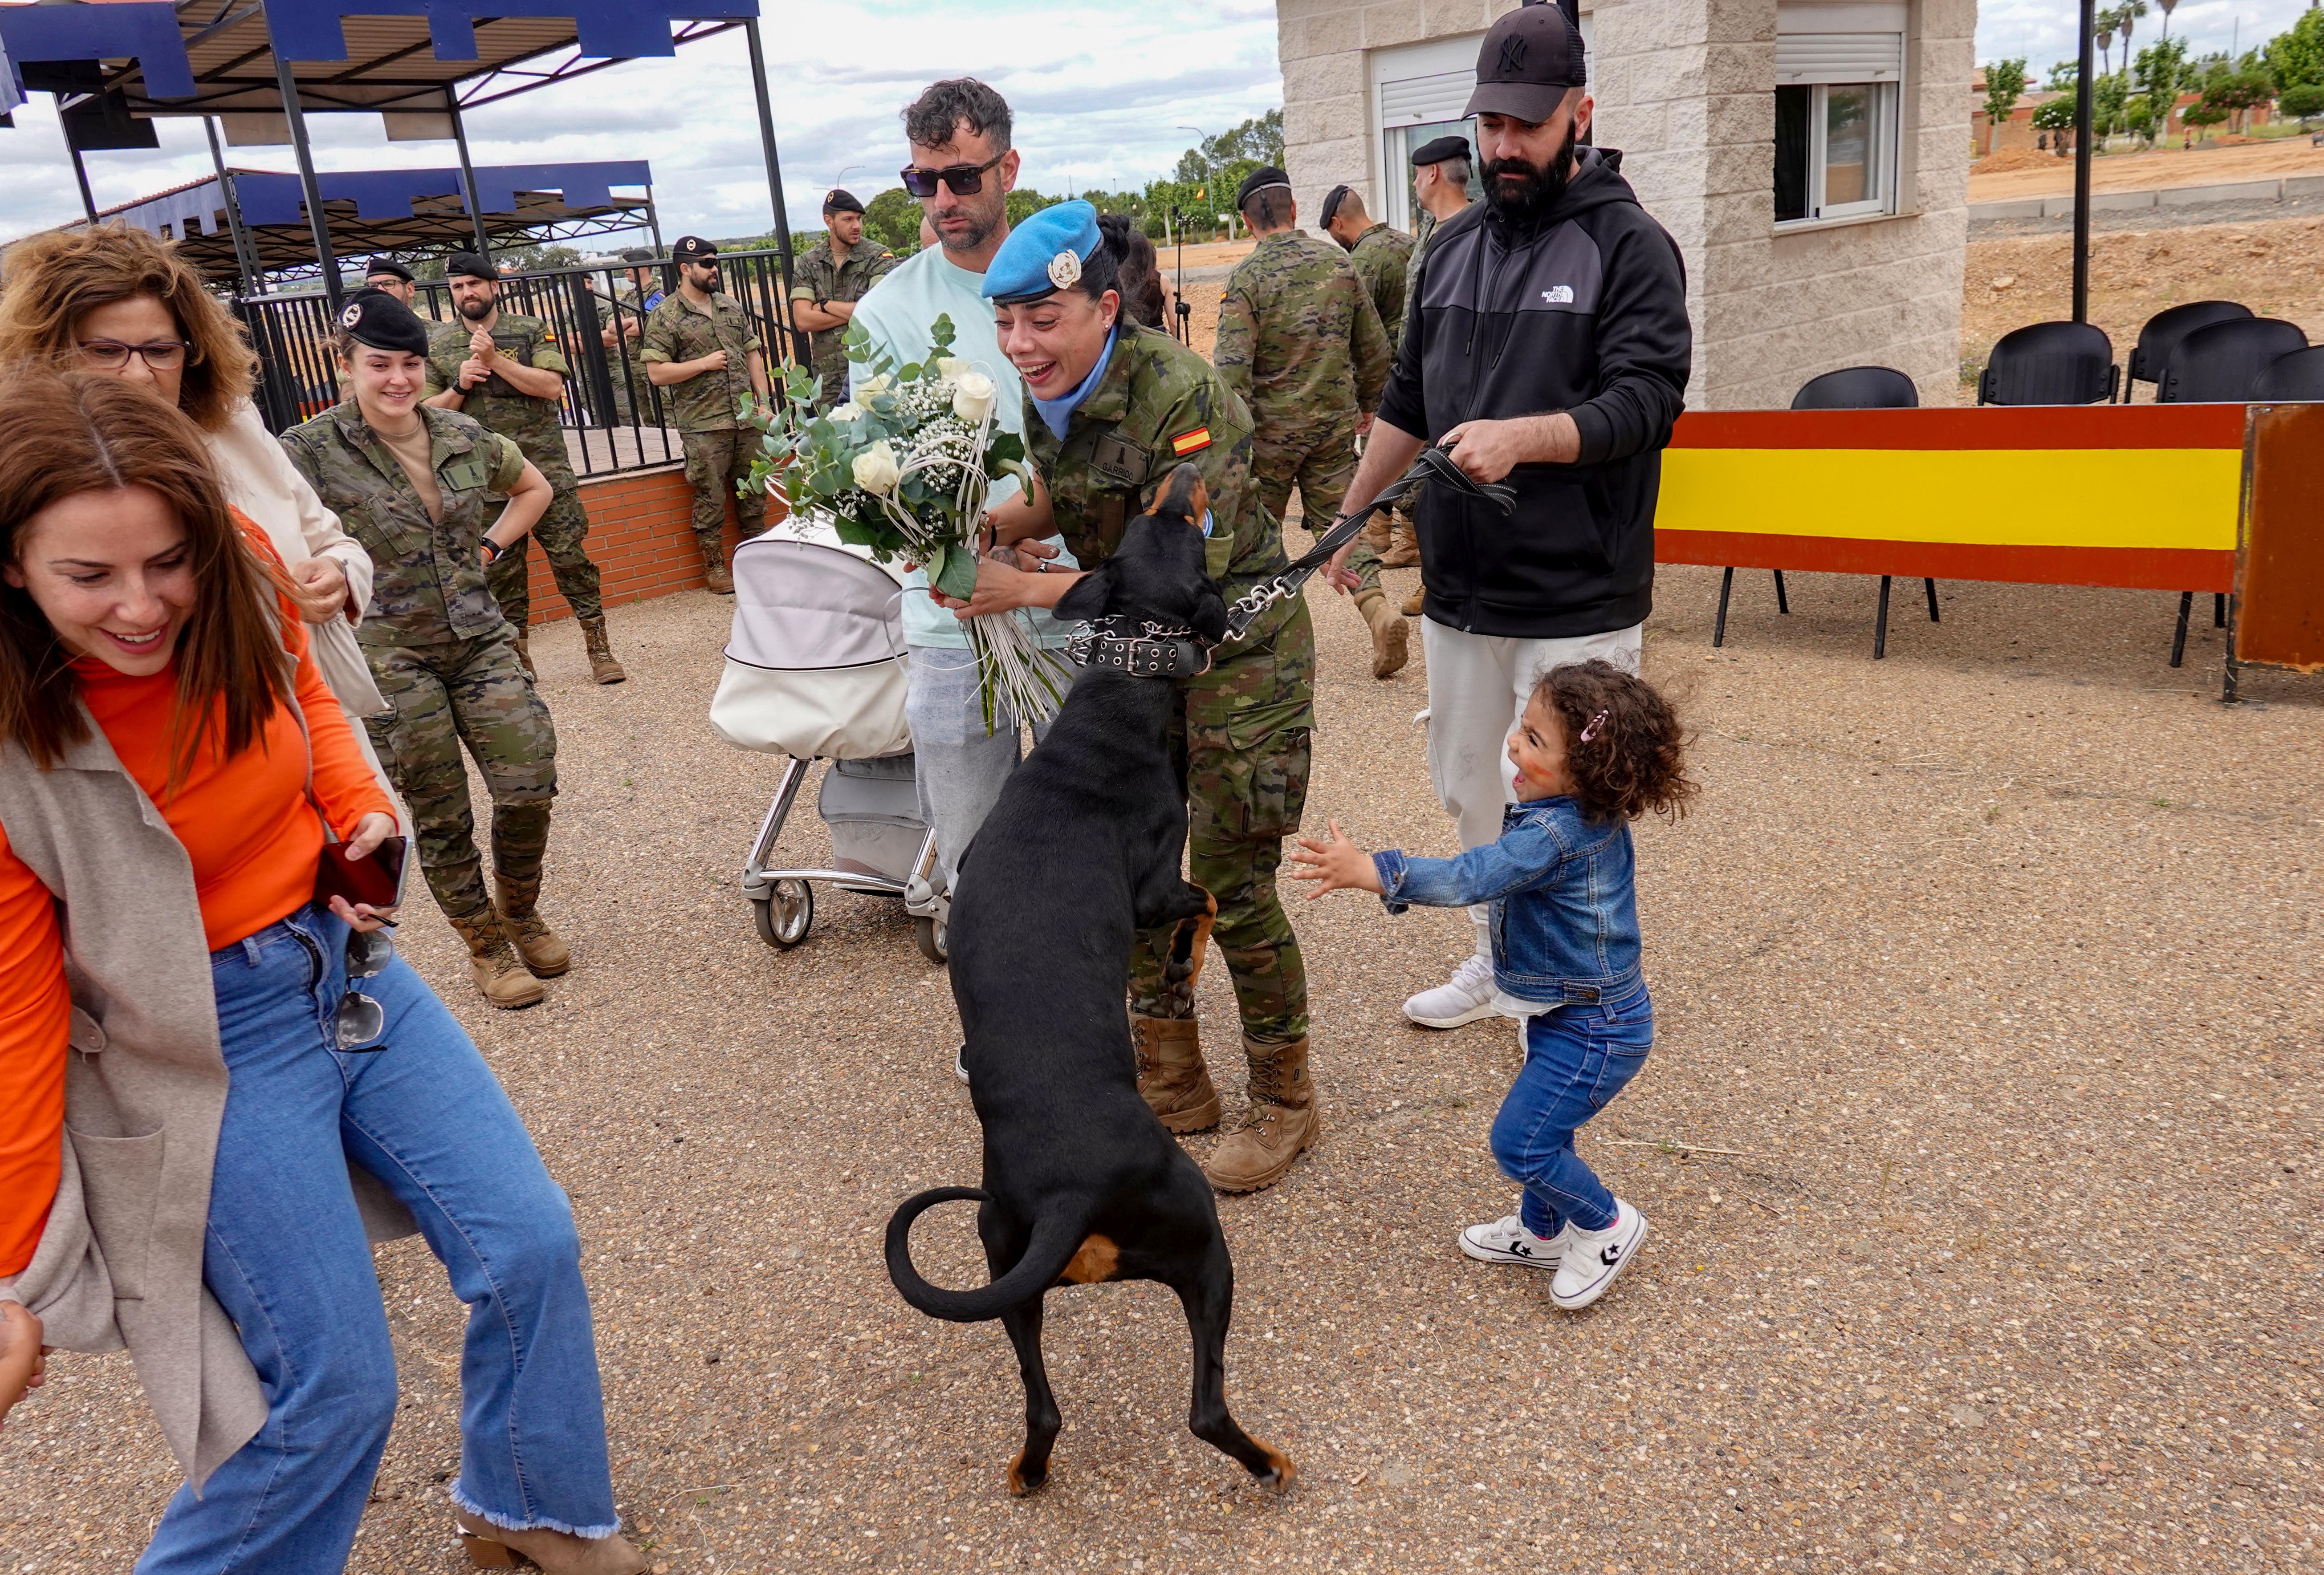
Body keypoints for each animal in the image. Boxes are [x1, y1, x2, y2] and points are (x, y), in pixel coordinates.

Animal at [883, 462, 1301, 1496]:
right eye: (1186, 532)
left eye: (1151, 521)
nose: (1183, 472)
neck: (1120, 686)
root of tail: (1068, 1192)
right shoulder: (1154, 884)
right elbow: (1199, 904)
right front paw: (1190, 955)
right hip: (1202, 1245)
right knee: (1203, 1407)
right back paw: (1269, 1461)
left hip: (1009, 1274)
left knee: (1043, 1406)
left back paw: (1029, 1469)